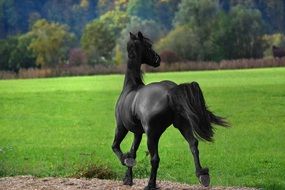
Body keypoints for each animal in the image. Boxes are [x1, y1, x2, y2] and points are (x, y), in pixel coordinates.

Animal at [111, 31, 229, 189]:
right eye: (148, 46)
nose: (157, 59)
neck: (131, 87)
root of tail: (171, 91)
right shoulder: (137, 132)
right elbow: (132, 151)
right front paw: (128, 179)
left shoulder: (122, 127)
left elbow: (116, 147)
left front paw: (126, 163)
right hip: (182, 125)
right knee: (193, 144)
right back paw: (202, 175)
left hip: (152, 134)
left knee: (155, 158)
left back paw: (151, 184)